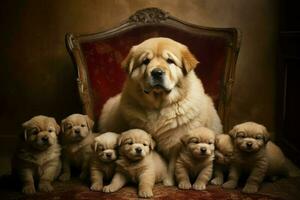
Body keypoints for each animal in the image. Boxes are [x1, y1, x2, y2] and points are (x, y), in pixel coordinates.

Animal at [99, 36, 223, 185]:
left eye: (170, 61)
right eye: (145, 61)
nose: (157, 72)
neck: (158, 107)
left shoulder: (175, 144)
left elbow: (172, 165)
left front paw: (168, 182)